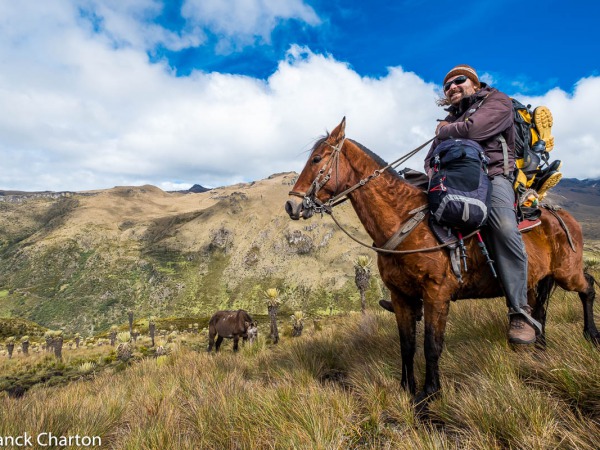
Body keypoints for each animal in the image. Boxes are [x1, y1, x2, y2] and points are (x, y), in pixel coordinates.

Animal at [284, 118, 596, 402]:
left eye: (316, 159)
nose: (291, 205)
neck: (405, 222)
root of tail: (561, 216)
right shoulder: (401, 297)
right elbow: (407, 345)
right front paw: (406, 388)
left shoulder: (436, 293)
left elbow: (431, 345)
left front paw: (430, 393)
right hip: (536, 280)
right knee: (538, 311)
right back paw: (539, 349)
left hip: (567, 273)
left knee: (588, 286)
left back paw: (590, 335)